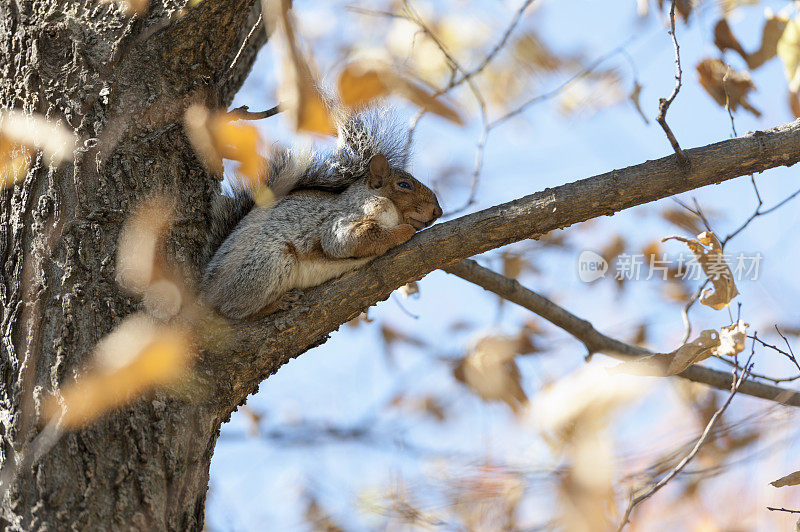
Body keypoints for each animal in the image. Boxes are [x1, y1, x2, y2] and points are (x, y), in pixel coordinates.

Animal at [197, 106, 440, 318]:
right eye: (404, 185)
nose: (438, 211)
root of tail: (208, 289)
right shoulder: (344, 219)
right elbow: (351, 239)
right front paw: (404, 231)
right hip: (266, 263)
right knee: (232, 310)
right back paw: (277, 304)